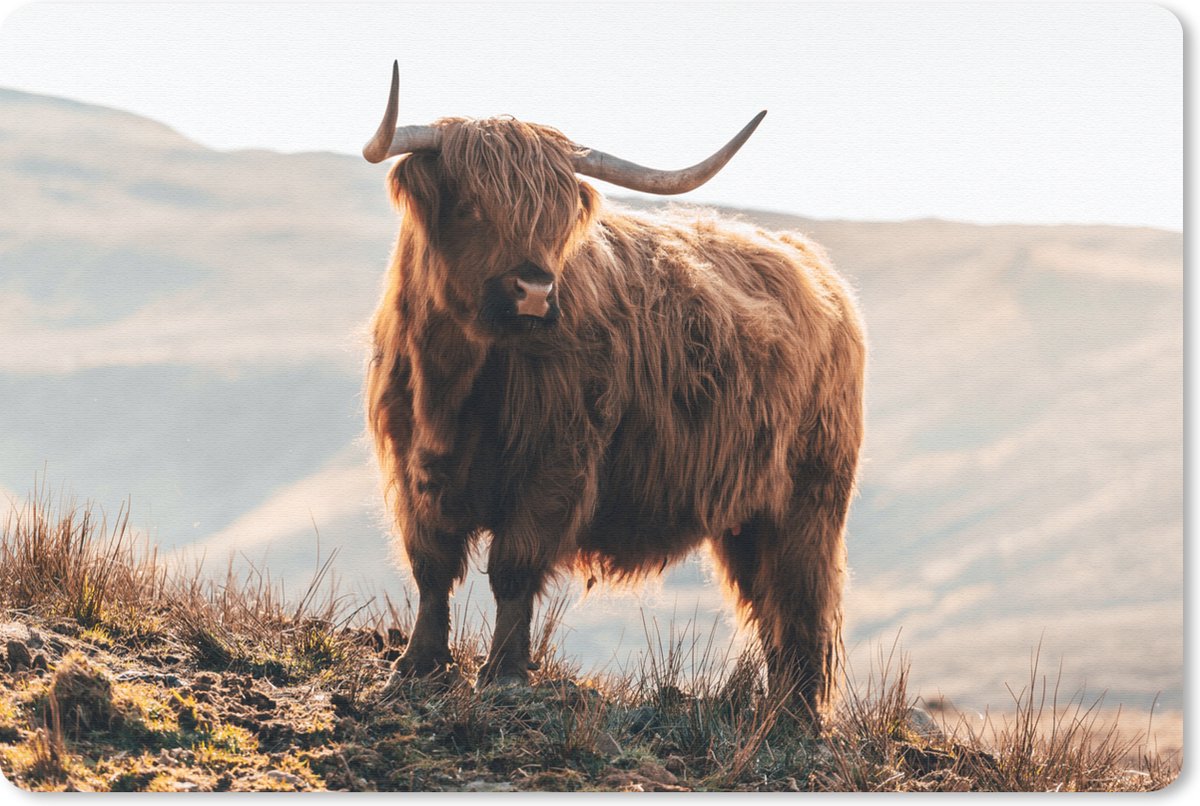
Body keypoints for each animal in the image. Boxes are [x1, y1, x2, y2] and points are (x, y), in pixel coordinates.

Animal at [362, 62, 865, 723]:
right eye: (471, 206)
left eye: (555, 220)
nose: (535, 291)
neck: (454, 384)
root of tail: (814, 267)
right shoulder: (412, 465)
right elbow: (431, 566)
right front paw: (415, 666)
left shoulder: (556, 465)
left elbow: (512, 569)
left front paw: (503, 675)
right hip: (747, 516)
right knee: (769, 603)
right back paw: (776, 710)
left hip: (809, 499)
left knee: (801, 598)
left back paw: (796, 717)